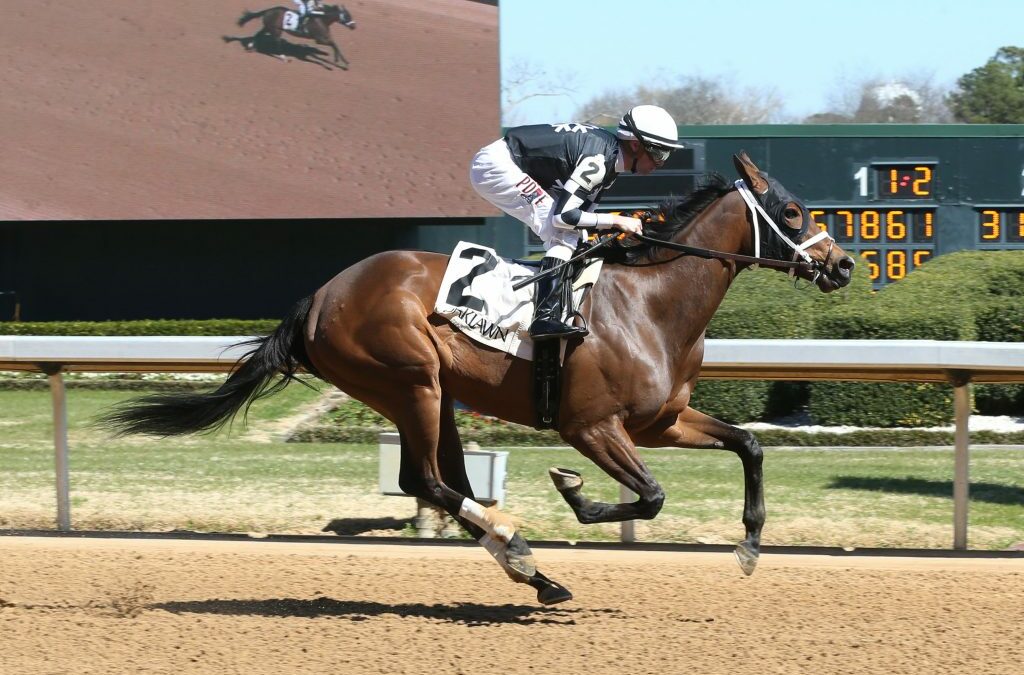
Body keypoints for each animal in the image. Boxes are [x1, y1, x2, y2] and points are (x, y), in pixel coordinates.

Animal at [105, 154, 856, 606]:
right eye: (793, 213)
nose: (843, 264)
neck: (650, 301)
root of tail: (317, 298)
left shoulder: (660, 421)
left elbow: (748, 445)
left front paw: (751, 545)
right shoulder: (590, 425)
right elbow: (648, 496)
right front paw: (572, 492)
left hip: (432, 396)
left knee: (449, 482)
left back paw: (537, 575)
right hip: (411, 382)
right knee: (425, 480)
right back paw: (519, 548)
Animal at [222, 4, 354, 67]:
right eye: (347, 16)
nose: (354, 26)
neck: (322, 19)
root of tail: (268, 10)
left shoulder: (325, 37)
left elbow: (335, 44)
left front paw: (343, 62)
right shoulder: (319, 39)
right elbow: (333, 44)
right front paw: (336, 62)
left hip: (269, 27)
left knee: (258, 34)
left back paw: (250, 46)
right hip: (275, 30)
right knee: (277, 41)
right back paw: (283, 57)